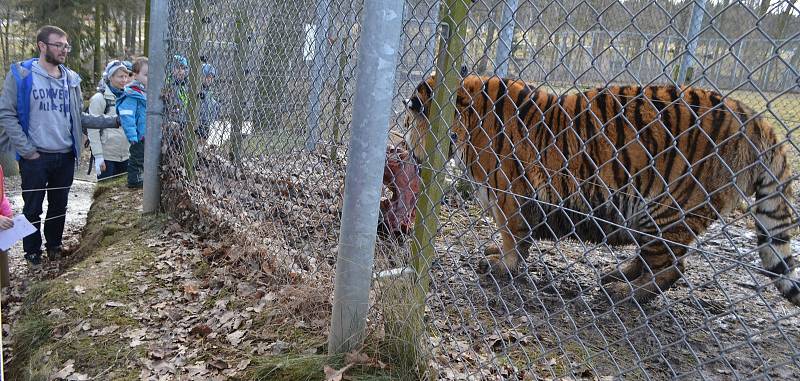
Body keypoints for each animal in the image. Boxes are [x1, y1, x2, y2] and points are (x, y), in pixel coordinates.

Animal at [406, 73, 800, 306]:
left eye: (412, 115)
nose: (410, 152)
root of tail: (755, 119)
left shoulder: (510, 199)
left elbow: (512, 237)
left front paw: (501, 265)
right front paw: (498, 256)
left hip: (669, 211)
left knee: (674, 267)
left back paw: (623, 292)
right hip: (649, 217)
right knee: (655, 259)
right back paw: (617, 274)